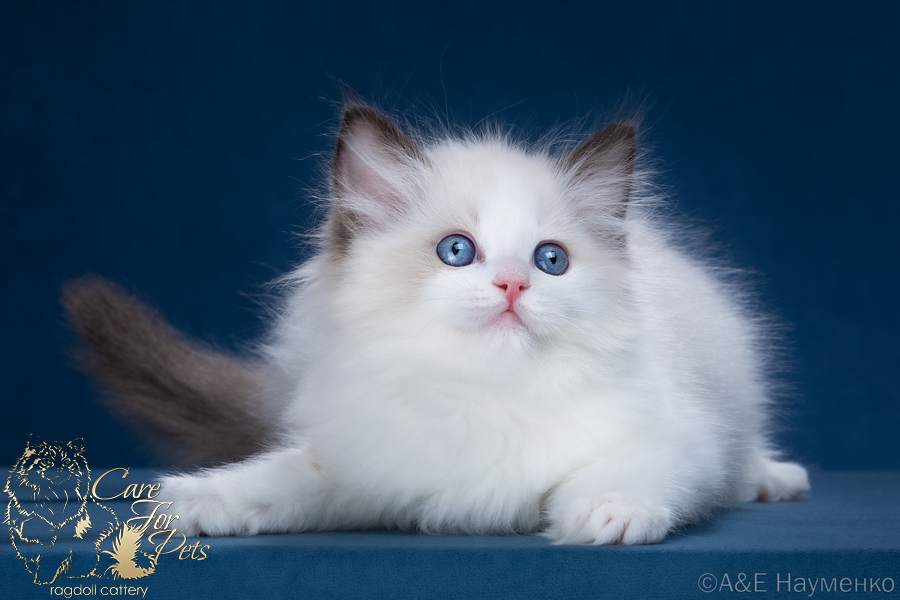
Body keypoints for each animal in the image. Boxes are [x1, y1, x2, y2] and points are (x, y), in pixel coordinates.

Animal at [63, 105, 808, 548]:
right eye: (457, 251)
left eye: (551, 260)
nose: (512, 286)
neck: (485, 395)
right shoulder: (364, 465)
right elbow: (282, 482)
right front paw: (195, 501)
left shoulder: (678, 437)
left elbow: (628, 469)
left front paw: (603, 515)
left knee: (746, 454)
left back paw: (777, 479)